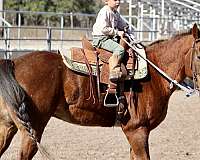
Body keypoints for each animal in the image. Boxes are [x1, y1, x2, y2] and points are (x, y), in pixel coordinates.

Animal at [0, 23, 200, 160]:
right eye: (199, 55)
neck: (154, 73)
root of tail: (14, 62)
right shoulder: (137, 131)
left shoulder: (135, 134)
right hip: (32, 129)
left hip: (8, 126)